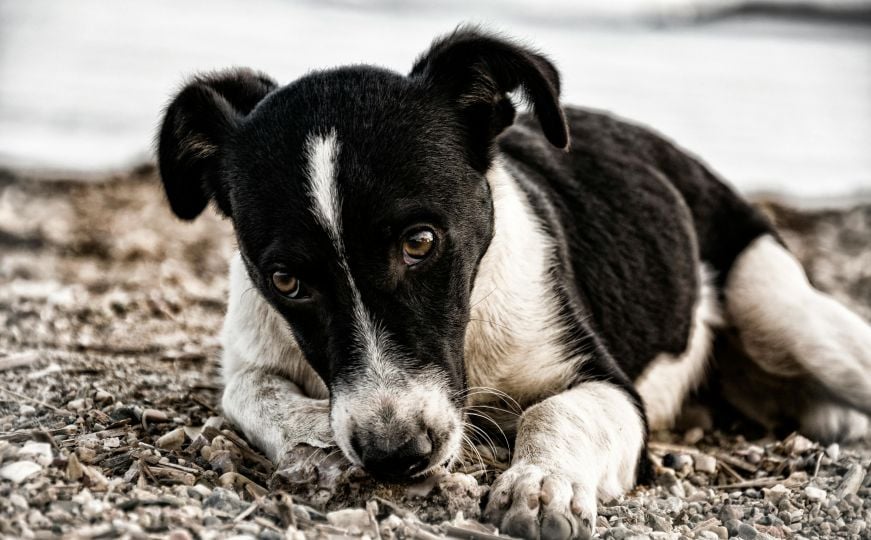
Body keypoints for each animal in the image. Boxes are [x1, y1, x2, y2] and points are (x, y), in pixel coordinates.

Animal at [157, 28, 871, 540]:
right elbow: (253, 393)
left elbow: (556, 409)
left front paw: (541, 484)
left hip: (781, 311)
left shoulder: (609, 387)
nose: (396, 454)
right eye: (286, 280)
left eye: (421, 242)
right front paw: (315, 439)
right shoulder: (250, 351)